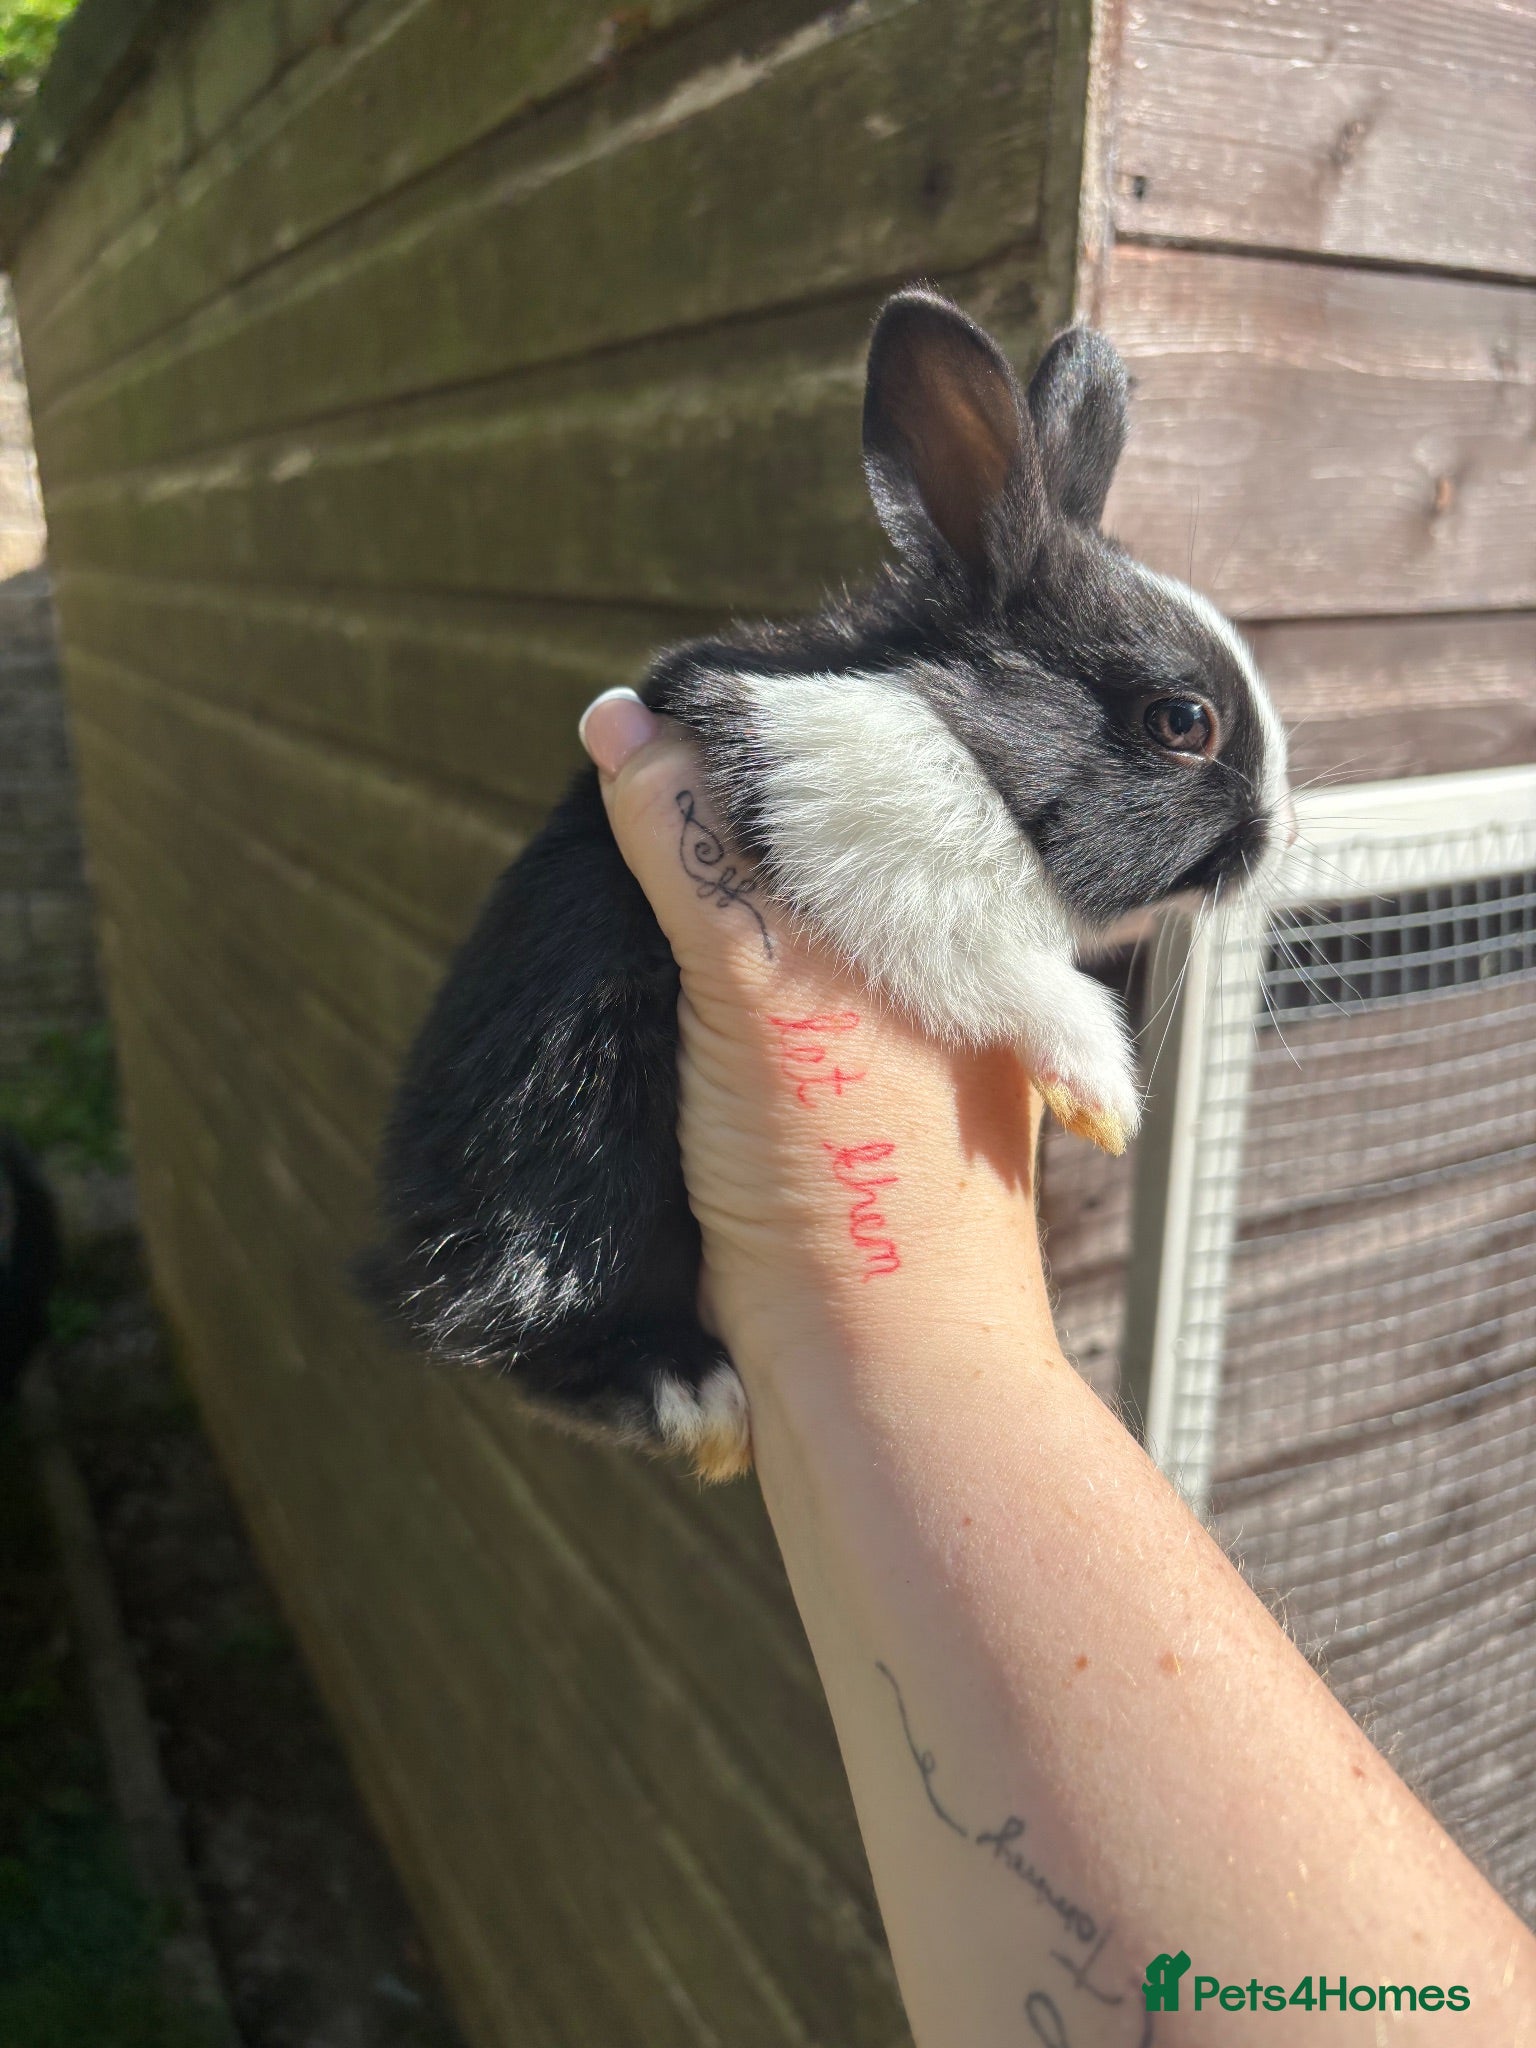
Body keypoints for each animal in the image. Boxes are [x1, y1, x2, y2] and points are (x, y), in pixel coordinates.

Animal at [360, 287, 1290, 1482]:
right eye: (1182, 722)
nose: (1276, 839)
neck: (961, 732)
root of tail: (411, 1270)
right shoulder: (873, 851)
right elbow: (1016, 975)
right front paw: (1105, 1095)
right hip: (572, 1164)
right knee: (534, 1329)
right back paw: (698, 1404)